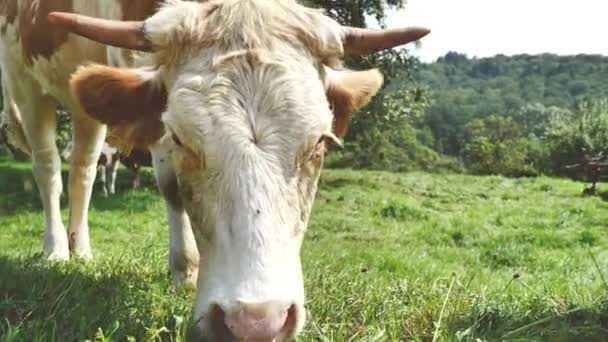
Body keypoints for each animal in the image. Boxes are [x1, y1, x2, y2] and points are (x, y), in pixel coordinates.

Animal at [1, 0, 428, 340]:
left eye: (321, 142)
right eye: (179, 137)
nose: (257, 323)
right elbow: (170, 185)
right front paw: (185, 270)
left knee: (84, 167)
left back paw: (82, 248)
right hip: (24, 78)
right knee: (47, 166)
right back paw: (56, 248)